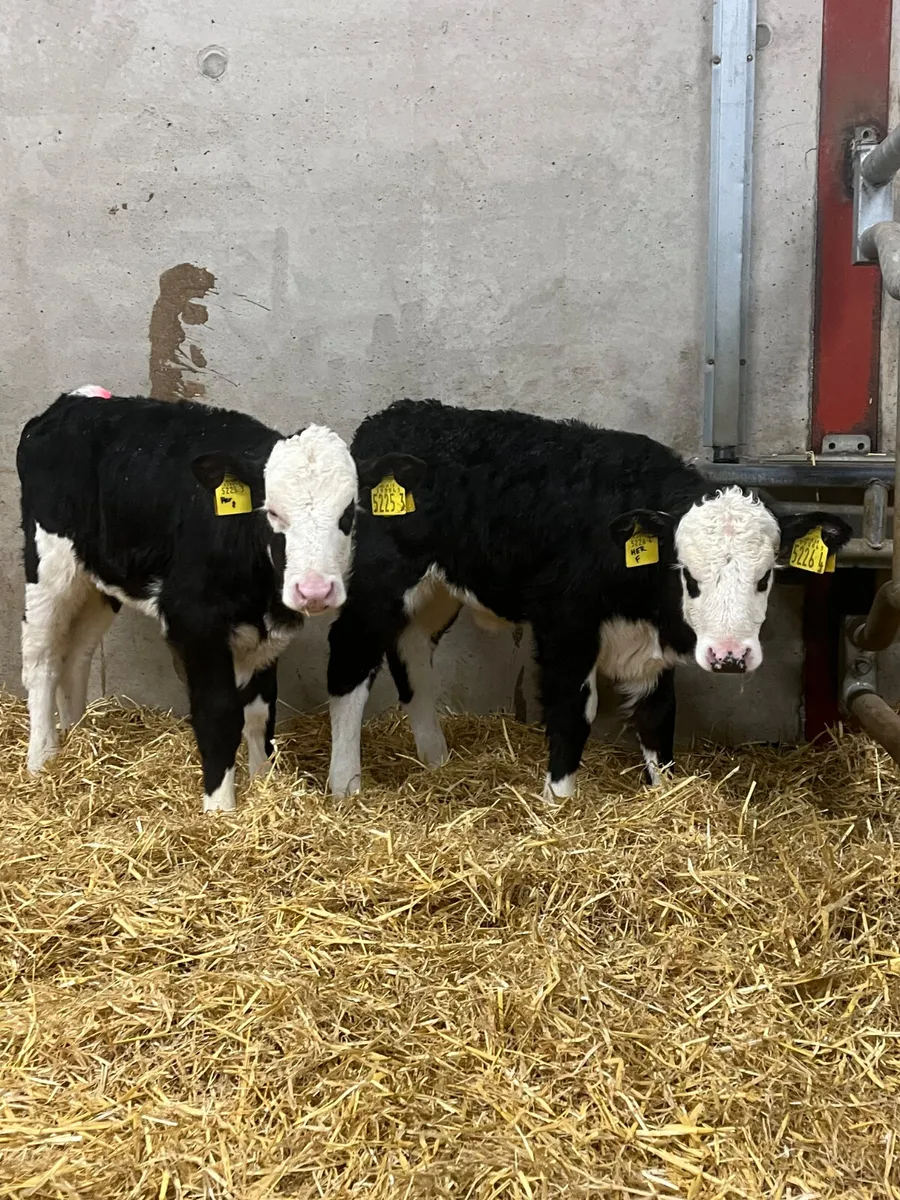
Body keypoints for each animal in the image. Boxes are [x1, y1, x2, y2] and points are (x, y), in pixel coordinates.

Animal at [16, 387, 410, 812]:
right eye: (273, 512)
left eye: (348, 513)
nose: (314, 590)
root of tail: (75, 401)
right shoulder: (195, 624)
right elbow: (219, 713)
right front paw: (220, 808)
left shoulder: (266, 635)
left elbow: (260, 712)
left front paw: (263, 783)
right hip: (48, 567)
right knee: (42, 661)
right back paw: (42, 758)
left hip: (99, 581)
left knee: (77, 655)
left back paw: (76, 738)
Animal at [325, 399, 852, 799]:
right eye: (688, 575)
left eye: (765, 577)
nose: (729, 656)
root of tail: (393, 416)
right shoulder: (564, 626)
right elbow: (572, 712)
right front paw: (558, 804)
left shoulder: (650, 650)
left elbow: (658, 718)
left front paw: (666, 797)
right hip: (377, 580)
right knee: (350, 658)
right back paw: (346, 784)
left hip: (435, 591)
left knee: (412, 656)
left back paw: (436, 760)